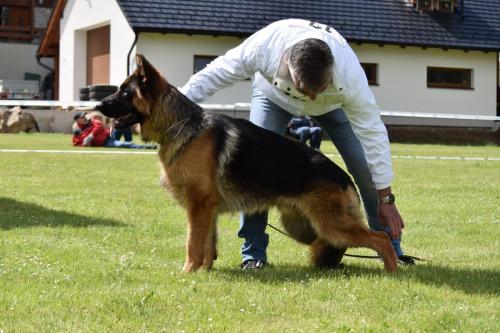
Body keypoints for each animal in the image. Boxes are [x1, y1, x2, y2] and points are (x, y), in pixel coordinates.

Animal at [97, 54, 398, 272]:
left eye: (125, 93)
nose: (98, 105)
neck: (181, 125)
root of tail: (345, 177)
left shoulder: (198, 205)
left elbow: (192, 242)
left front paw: (187, 272)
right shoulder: (207, 210)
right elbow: (207, 243)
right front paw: (204, 271)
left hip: (329, 225)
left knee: (380, 238)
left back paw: (392, 270)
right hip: (304, 226)